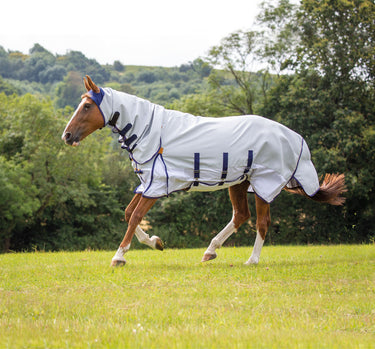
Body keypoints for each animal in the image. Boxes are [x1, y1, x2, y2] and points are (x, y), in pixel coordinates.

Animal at [61, 75, 346, 266]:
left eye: (87, 106)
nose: (66, 135)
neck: (151, 131)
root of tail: (294, 138)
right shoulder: (147, 184)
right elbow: (129, 213)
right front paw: (155, 242)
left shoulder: (157, 186)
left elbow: (134, 216)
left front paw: (119, 256)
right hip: (239, 182)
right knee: (240, 215)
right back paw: (210, 250)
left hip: (263, 185)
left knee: (262, 223)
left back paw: (251, 260)